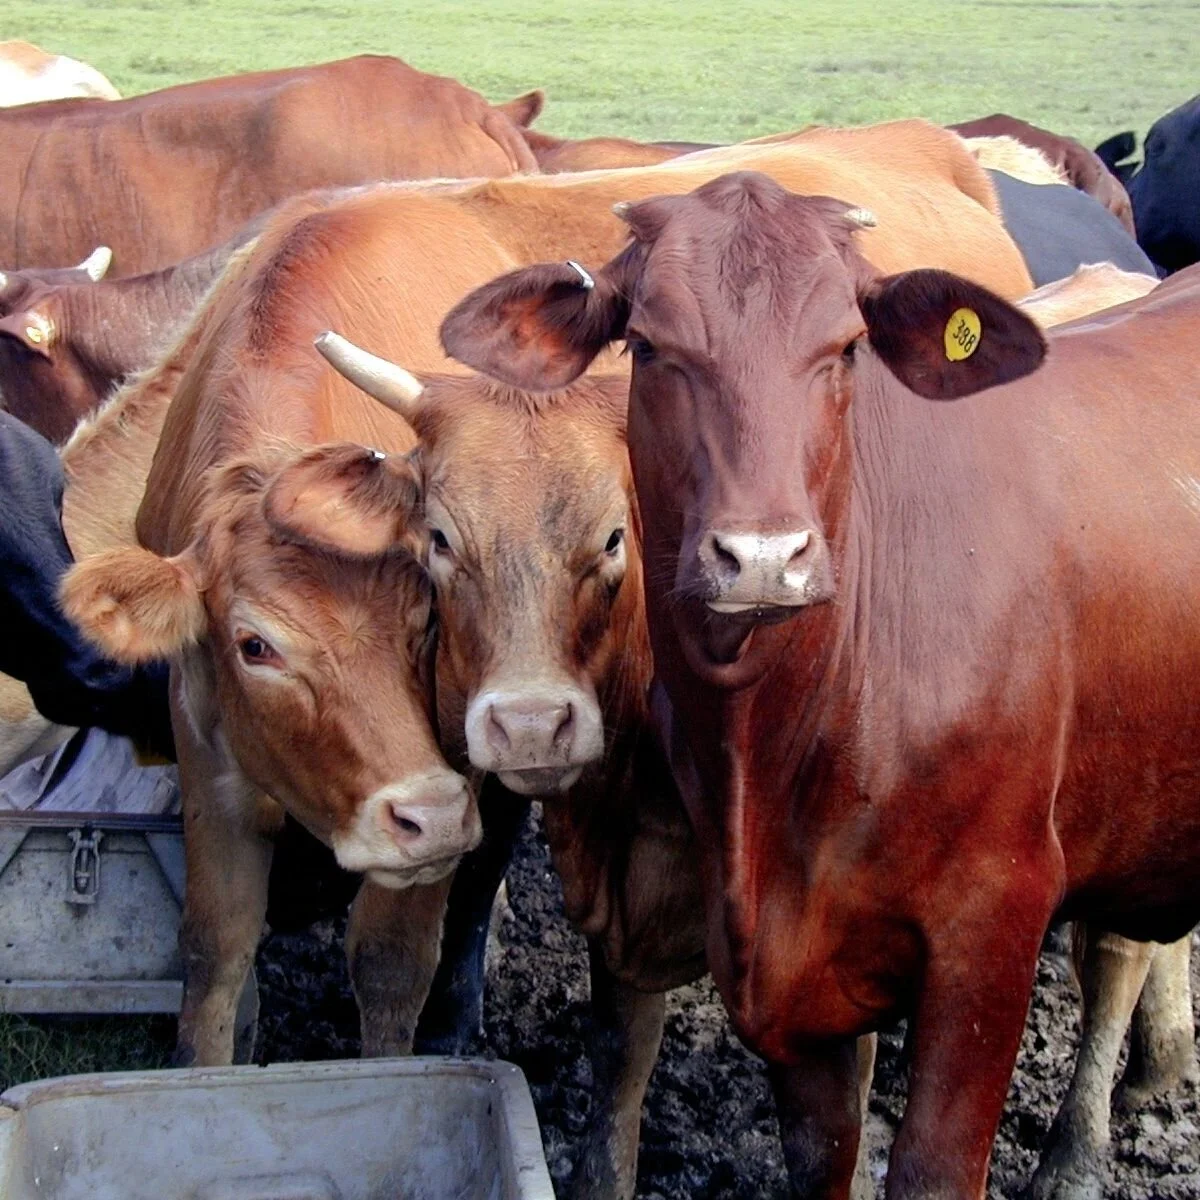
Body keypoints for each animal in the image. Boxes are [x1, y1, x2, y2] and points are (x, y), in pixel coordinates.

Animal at [436, 172, 1200, 1199]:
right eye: (651, 344)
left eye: (845, 348)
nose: (763, 556)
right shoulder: (789, 985)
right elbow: (821, 1154)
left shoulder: (994, 926)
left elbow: (933, 1167)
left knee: (1115, 957)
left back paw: (1074, 1159)